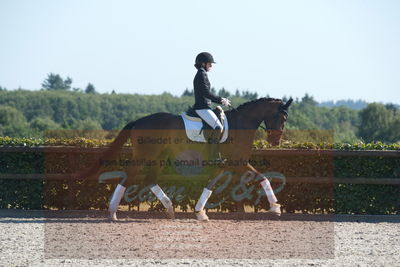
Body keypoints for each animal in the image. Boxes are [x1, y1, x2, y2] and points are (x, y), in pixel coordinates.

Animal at [77, 97, 294, 221]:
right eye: (283, 118)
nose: (275, 141)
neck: (241, 124)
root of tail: (138, 120)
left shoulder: (223, 166)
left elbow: (210, 184)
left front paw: (201, 213)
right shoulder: (238, 162)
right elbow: (263, 178)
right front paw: (276, 207)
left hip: (159, 158)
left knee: (149, 180)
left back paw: (169, 209)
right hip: (146, 156)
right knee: (127, 177)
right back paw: (113, 212)